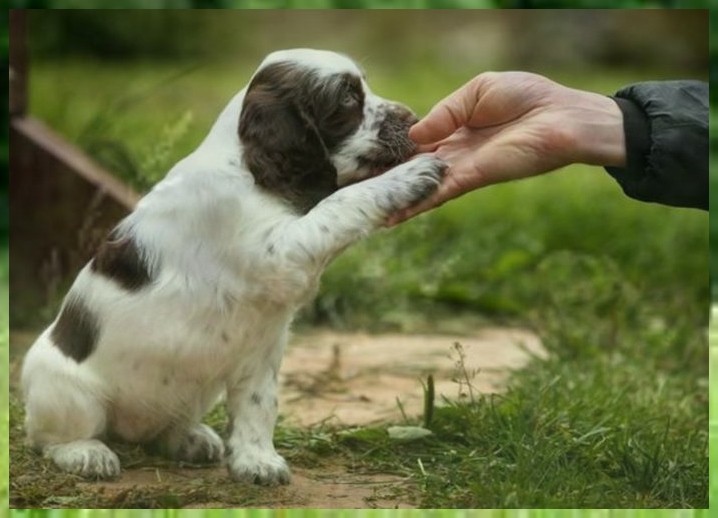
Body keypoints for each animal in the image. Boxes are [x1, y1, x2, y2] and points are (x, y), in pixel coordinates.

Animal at [19, 48, 448, 488]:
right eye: (347, 97)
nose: (414, 119)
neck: (246, 167)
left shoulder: (262, 347)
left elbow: (259, 405)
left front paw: (256, 461)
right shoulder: (280, 252)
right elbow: (340, 203)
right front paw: (409, 176)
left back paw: (190, 439)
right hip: (67, 392)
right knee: (50, 437)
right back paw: (86, 453)